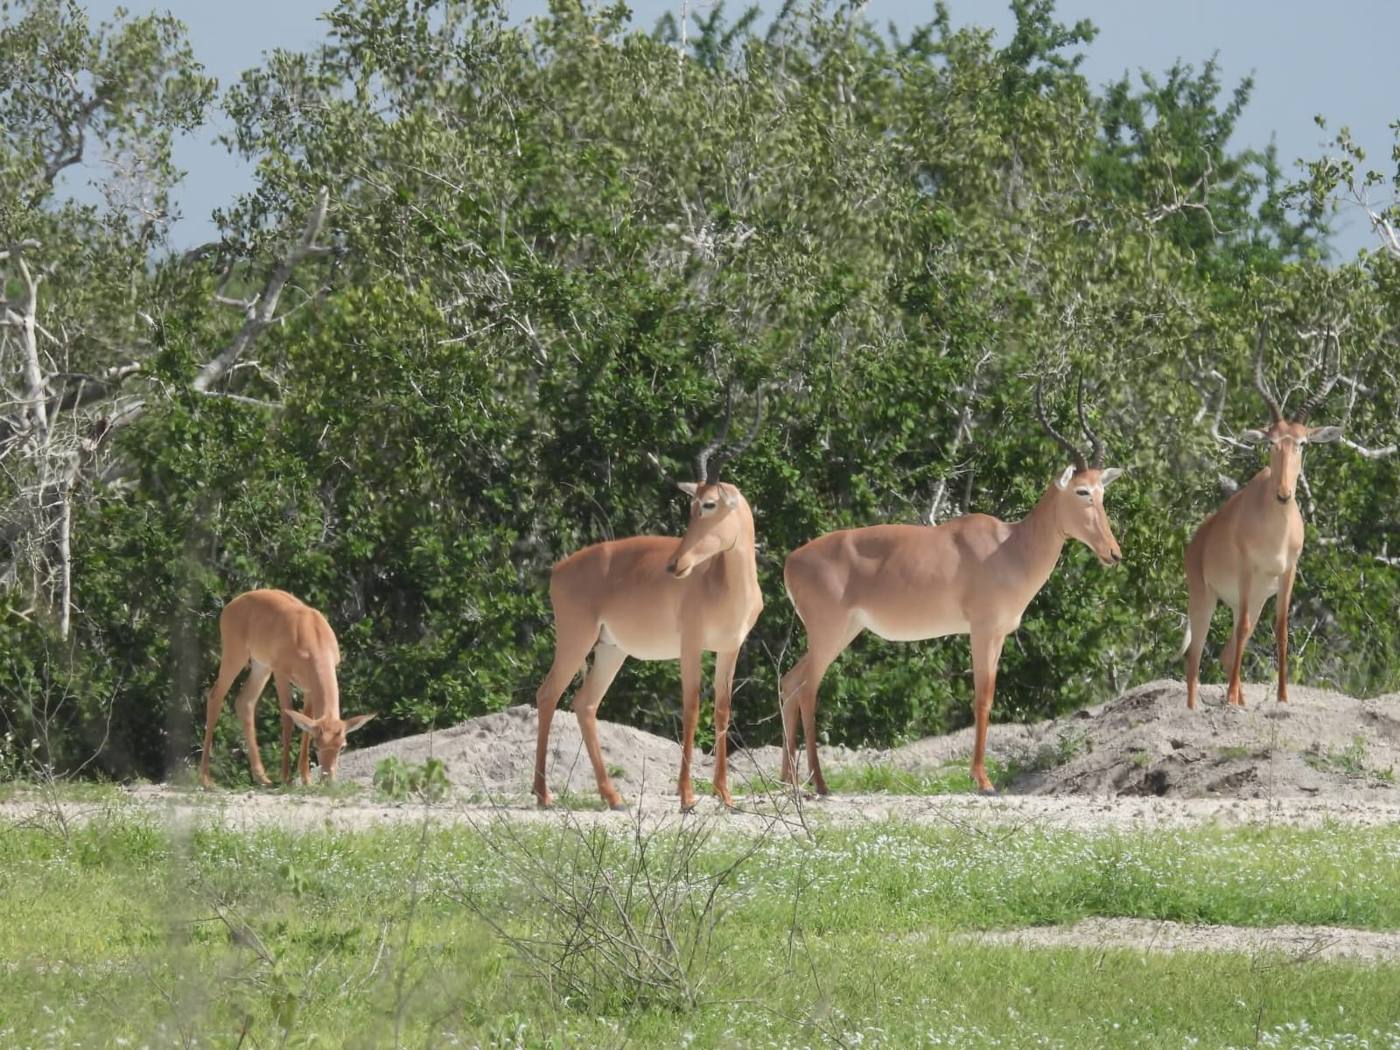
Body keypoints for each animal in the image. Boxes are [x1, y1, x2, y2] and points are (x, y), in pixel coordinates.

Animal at [198, 589, 374, 787]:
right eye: (317, 745)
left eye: (342, 746)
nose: (327, 779)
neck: (312, 636)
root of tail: (230, 606)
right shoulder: (281, 673)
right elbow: (288, 718)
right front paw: (286, 778)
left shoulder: (309, 688)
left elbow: (306, 724)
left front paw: (306, 779)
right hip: (235, 655)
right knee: (215, 696)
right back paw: (206, 780)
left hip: (261, 666)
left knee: (245, 702)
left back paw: (262, 778)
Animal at [533, 390, 766, 811]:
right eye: (692, 505)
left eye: (708, 504)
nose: (675, 564)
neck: (722, 585)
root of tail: (559, 568)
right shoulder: (691, 645)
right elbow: (691, 708)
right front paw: (687, 796)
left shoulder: (730, 648)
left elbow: (722, 709)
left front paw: (725, 795)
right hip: (577, 640)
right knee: (548, 694)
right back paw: (544, 794)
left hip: (611, 649)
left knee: (584, 704)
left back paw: (613, 797)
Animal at [780, 380, 1124, 795]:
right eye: (1082, 492)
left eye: (1102, 492)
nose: (1113, 553)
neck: (1009, 547)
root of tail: (791, 560)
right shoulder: (982, 631)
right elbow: (982, 698)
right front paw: (983, 780)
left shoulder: (999, 634)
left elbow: (988, 697)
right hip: (828, 634)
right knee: (808, 690)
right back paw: (820, 784)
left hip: (842, 632)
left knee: (790, 683)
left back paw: (787, 780)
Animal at [1182, 340, 1342, 709]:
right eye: (1271, 441)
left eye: (1302, 442)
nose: (1284, 494)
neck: (1274, 533)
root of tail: (1197, 541)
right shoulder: (1245, 572)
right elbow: (1241, 630)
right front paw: (1229, 697)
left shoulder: (1287, 573)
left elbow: (1282, 630)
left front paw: (1282, 697)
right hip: (1206, 598)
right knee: (1194, 659)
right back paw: (1204, 705)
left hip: (1252, 599)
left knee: (1227, 652)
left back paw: (1239, 699)